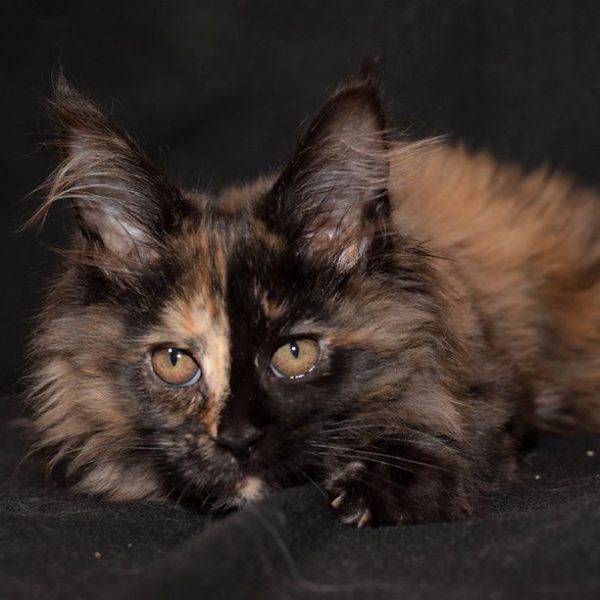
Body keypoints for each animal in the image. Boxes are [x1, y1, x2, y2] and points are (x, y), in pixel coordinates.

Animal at [27, 69, 600, 524]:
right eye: (174, 361)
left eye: (295, 353)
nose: (237, 439)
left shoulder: (485, 381)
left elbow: (461, 430)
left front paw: (375, 490)